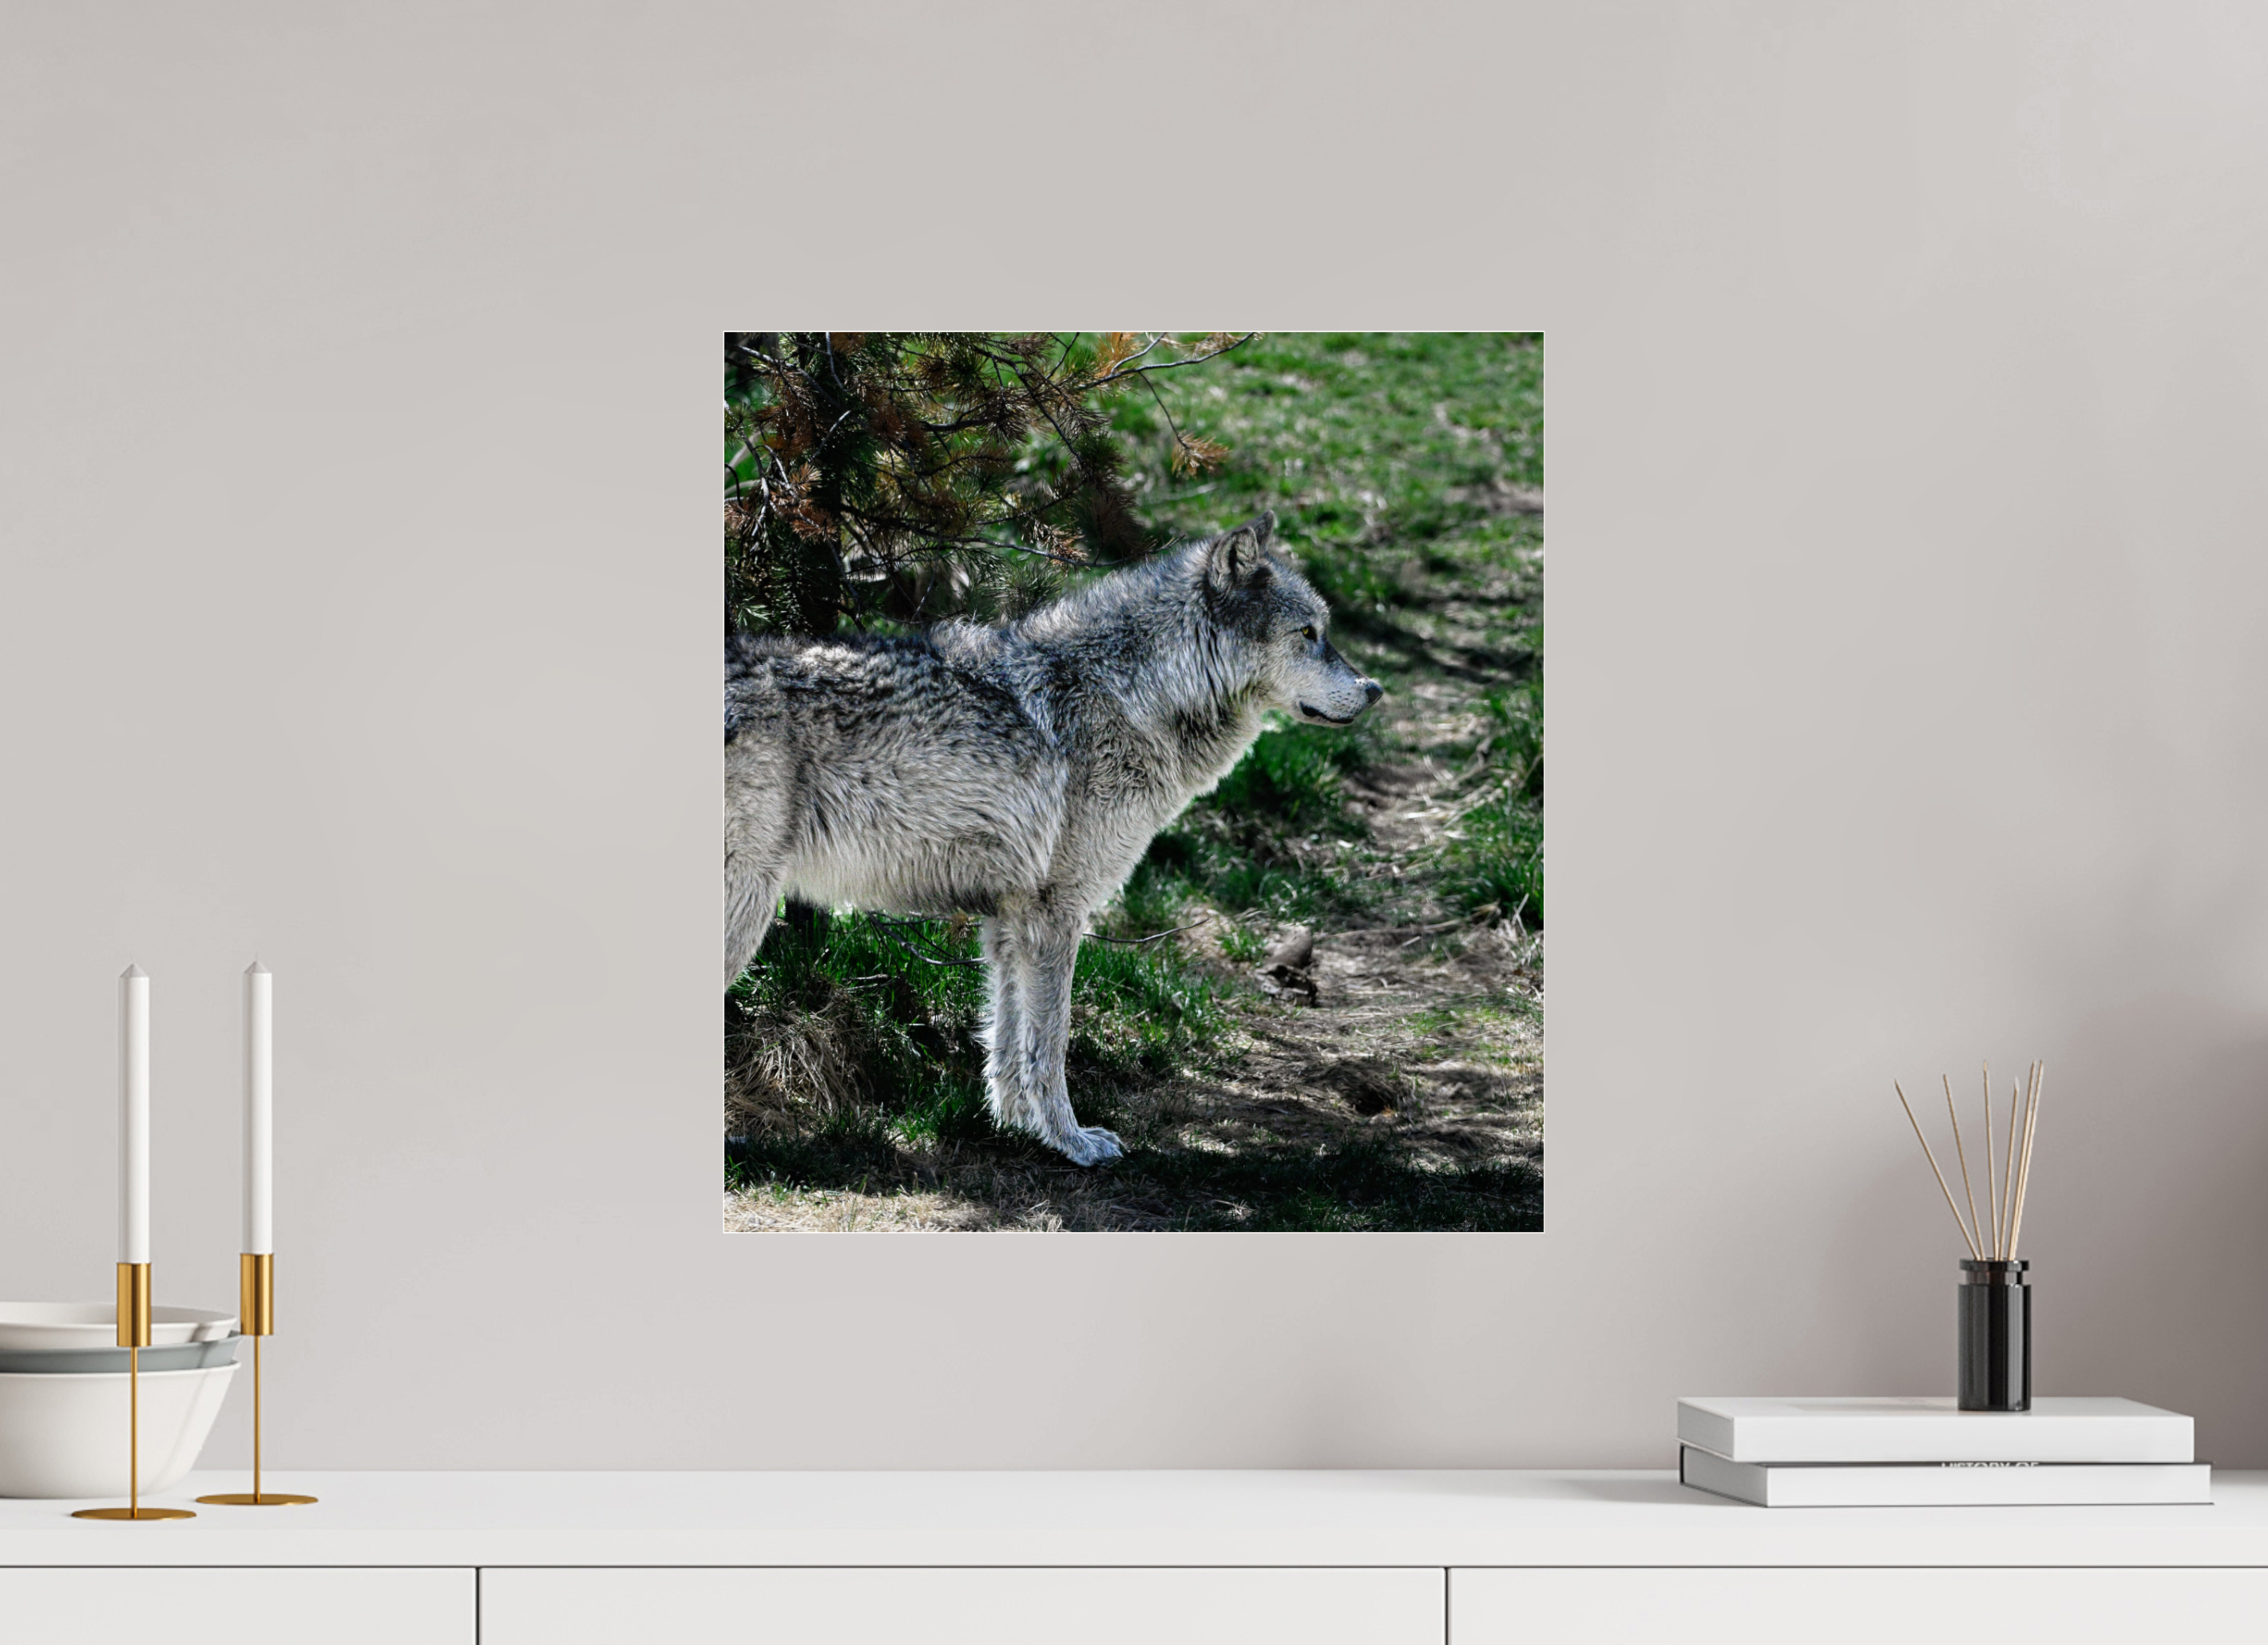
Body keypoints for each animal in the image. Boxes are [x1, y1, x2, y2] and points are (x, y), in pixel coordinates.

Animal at [723, 512, 1382, 1165]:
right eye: (1307, 633)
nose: (1375, 689)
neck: (1135, 696)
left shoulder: (1011, 918)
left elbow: (1008, 1041)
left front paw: (1019, 1126)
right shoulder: (1057, 911)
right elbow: (1053, 1042)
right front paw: (1073, 1141)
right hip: (747, 912)